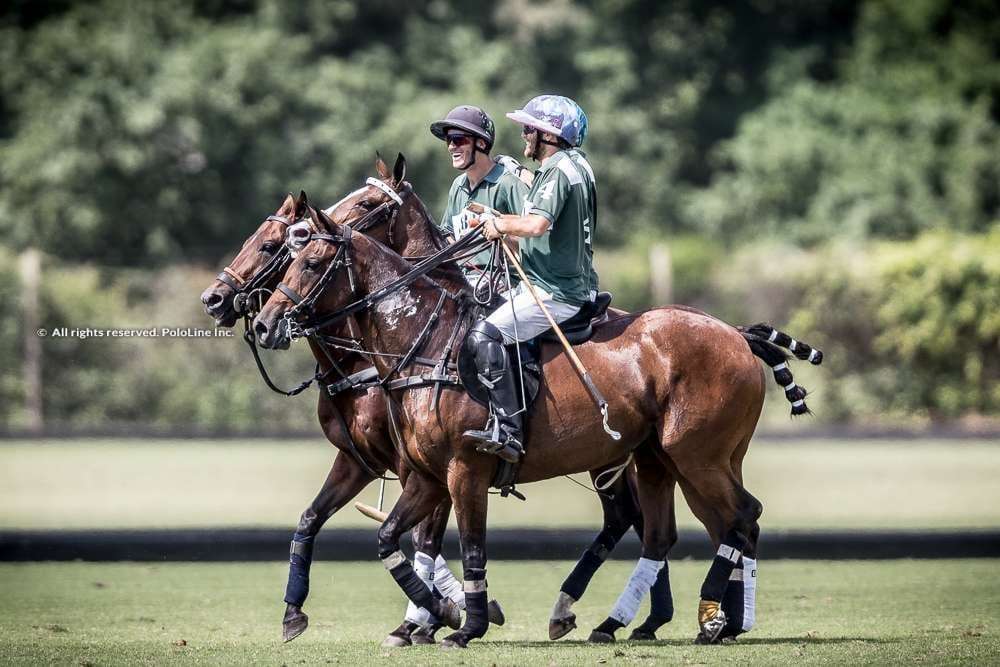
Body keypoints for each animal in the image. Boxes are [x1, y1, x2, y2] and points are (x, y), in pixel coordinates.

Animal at [252, 172, 820, 648]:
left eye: (311, 261)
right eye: (287, 255)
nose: (261, 322)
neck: (424, 341)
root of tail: (737, 335)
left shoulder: (464, 469)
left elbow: (468, 546)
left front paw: (463, 623)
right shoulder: (421, 473)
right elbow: (391, 538)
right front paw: (438, 615)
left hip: (695, 455)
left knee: (740, 516)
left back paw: (703, 617)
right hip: (665, 459)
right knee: (682, 530)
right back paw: (668, 621)